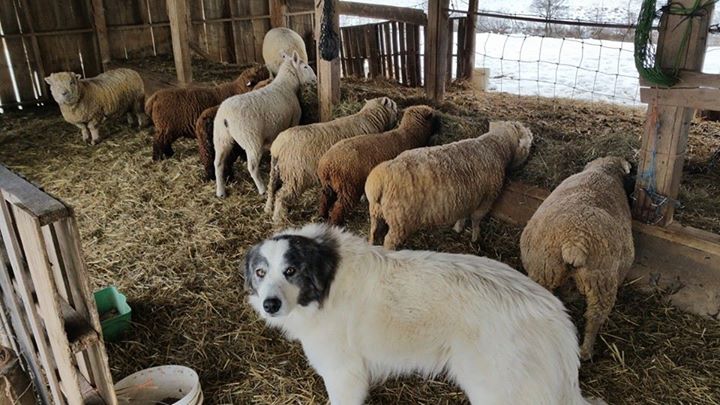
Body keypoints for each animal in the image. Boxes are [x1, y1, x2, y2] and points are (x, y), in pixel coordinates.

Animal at [213, 51, 317, 198]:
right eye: (305, 67)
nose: (315, 78)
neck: (286, 85)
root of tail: (225, 117)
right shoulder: (293, 120)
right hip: (251, 138)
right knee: (252, 167)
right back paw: (262, 188)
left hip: (220, 138)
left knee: (218, 163)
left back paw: (220, 191)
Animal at [265, 97, 399, 224]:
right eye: (395, 107)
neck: (370, 118)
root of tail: (278, 146)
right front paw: (364, 198)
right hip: (296, 175)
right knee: (281, 195)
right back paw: (278, 217)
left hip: (275, 169)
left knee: (271, 188)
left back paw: (268, 209)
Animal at [365, 121, 533, 250]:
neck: (496, 147)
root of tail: (378, 180)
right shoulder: (486, 199)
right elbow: (476, 220)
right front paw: (475, 238)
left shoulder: (467, 197)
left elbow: (463, 215)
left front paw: (458, 228)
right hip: (399, 222)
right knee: (389, 241)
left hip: (376, 212)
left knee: (373, 231)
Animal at [520, 156, 634, 361]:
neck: (603, 171)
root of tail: (575, 240)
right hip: (602, 284)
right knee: (594, 318)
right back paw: (586, 351)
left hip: (545, 270)